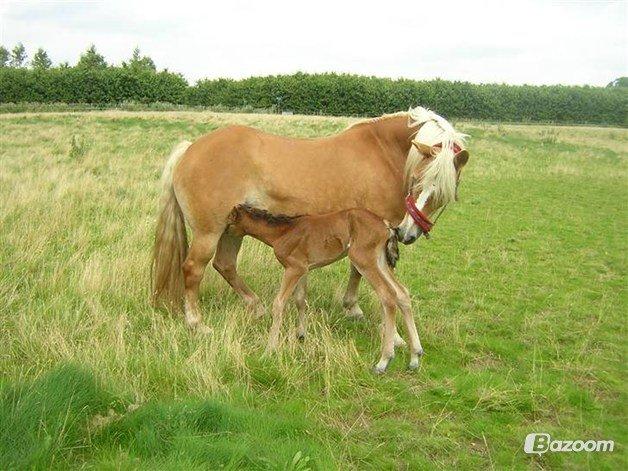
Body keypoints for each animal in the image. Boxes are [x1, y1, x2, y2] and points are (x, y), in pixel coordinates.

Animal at [151, 107, 466, 332]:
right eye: (418, 180)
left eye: (442, 193)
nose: (408, 234)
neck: (381, 152)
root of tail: (190, 148)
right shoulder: (371, 233)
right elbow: (360, 271)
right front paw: (355, 309)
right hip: (210, 232)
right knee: (194, 269)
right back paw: (197, 323)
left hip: (233, 229)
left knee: (225, 265)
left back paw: (256, 307)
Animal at [228, 205, 424, 374]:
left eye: (230, 221)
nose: (226, 234)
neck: (283, 232)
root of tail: (385, 225)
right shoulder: (303, 269)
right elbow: (300, 300)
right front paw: (301, 335)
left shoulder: (293, 269)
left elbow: (279, 303)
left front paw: (269, 350)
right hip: (380, 261)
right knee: (402, 293)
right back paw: (415, 356)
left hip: (363, 260)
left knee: (387, 296)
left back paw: (383, 361)